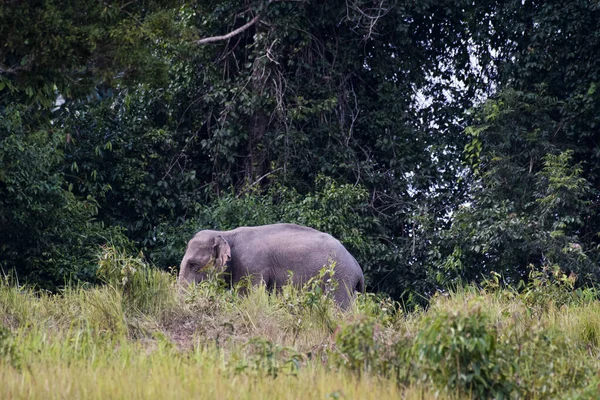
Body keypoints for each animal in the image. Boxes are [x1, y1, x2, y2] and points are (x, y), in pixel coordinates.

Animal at [177, 223, 366, 308]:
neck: (226, 234)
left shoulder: (251, 266)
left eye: (193, 264)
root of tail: (357, 267)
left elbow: (248, 295)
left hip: (340, 278)